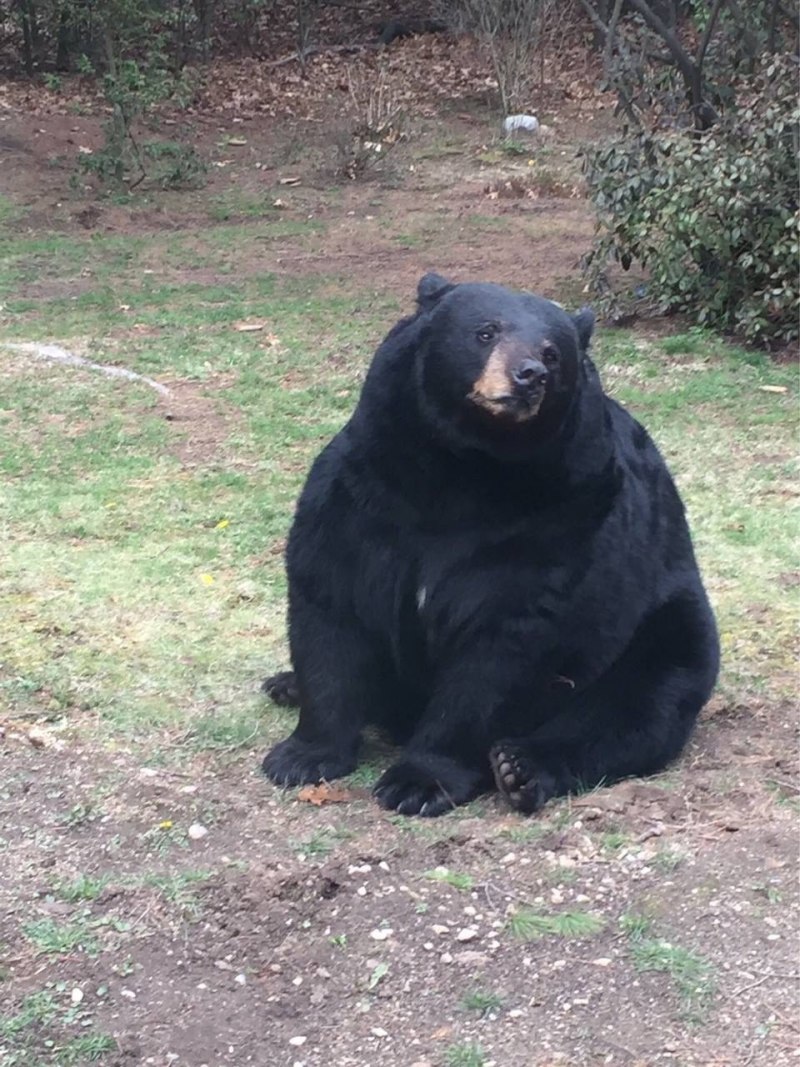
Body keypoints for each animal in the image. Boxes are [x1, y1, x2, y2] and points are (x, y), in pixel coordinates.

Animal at [260, 274, 720, 817]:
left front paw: (418, 782)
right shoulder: (361, 495)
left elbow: (502, 650)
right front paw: (301, 755)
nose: (529, 375)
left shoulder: (560, 519)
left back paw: (519, 767)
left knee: (637, 703)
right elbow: (331, 605)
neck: (465, 468)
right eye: (485, 331)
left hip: (662, 624)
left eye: (552, 352)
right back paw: (284, 683)